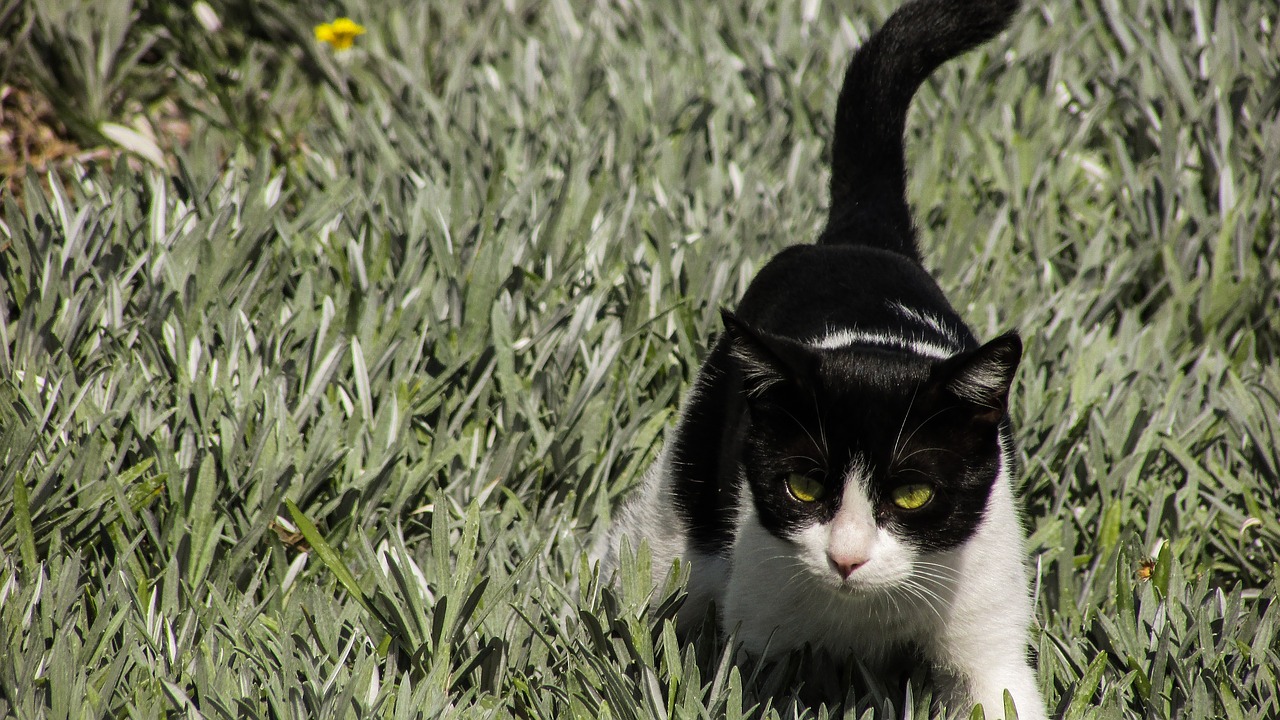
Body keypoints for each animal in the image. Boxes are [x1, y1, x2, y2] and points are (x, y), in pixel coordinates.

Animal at [593, 1, 1044, 717]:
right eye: (803, 486)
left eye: (913, 494)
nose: (846, 558)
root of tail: (857, 237)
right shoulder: (760, 635)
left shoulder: (989, 632)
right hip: (685, 503)